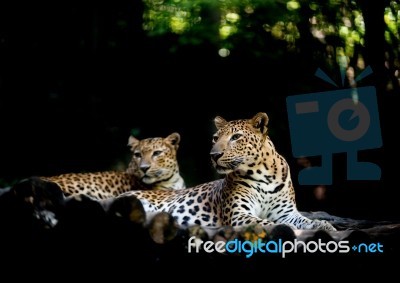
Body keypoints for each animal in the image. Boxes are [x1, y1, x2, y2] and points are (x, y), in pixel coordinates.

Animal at [113, 112, 338, 232]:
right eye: (215, 138)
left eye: (236, 137)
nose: (214, 155)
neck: (264, 175)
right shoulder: (239, 214)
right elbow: (268, 223)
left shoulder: (287, 213)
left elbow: (307, 221)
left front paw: (325, 226)